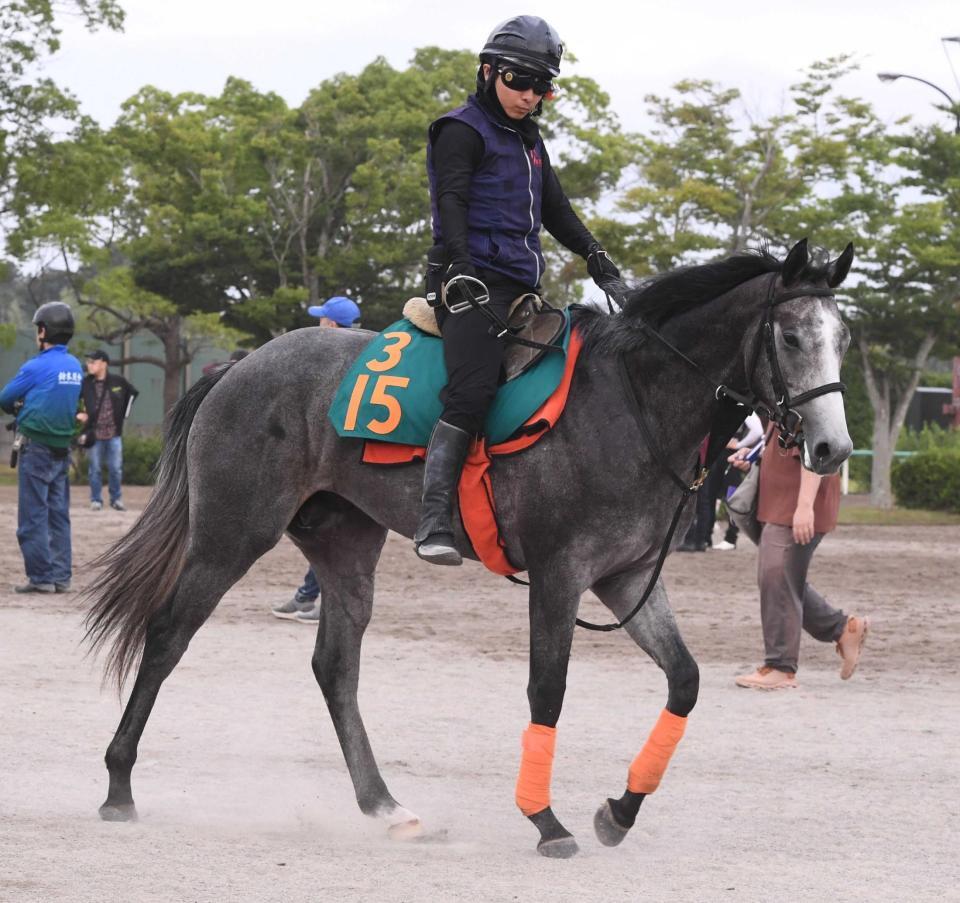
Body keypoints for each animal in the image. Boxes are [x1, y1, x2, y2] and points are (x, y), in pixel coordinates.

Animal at [85, 238, 854, 858]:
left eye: (841, 337)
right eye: (790, 337)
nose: (832, 448)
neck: (632, 402)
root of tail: (239, 367)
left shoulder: (629, 577)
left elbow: (685, 680)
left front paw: (620, 810)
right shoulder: (561, 573)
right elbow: (547, 688)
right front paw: (546, 819)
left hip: (344, 543)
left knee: (335, 666)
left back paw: (383, 804)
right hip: (232, 535)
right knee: (168, 633)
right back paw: (118, 784)